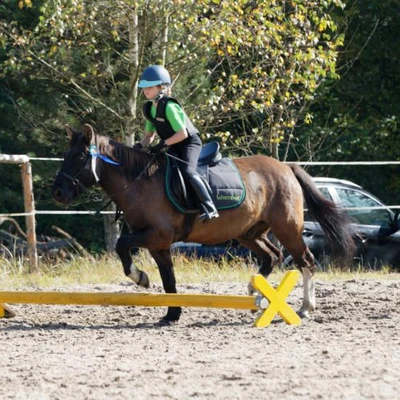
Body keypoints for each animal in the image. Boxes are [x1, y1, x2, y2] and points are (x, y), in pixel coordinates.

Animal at [51, 125, 354, 324]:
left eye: (80, 157)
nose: (58, 193)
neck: (138, 181)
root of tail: (286, 167)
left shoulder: (155, 235)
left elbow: (122, 246)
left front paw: (140, 278)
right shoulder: (158, 244)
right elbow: (169, 279)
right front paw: (171, 314)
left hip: (287, 229)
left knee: (305, 261)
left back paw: (305, 307)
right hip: (249, 232)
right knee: (272, 256)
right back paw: (255, 295)